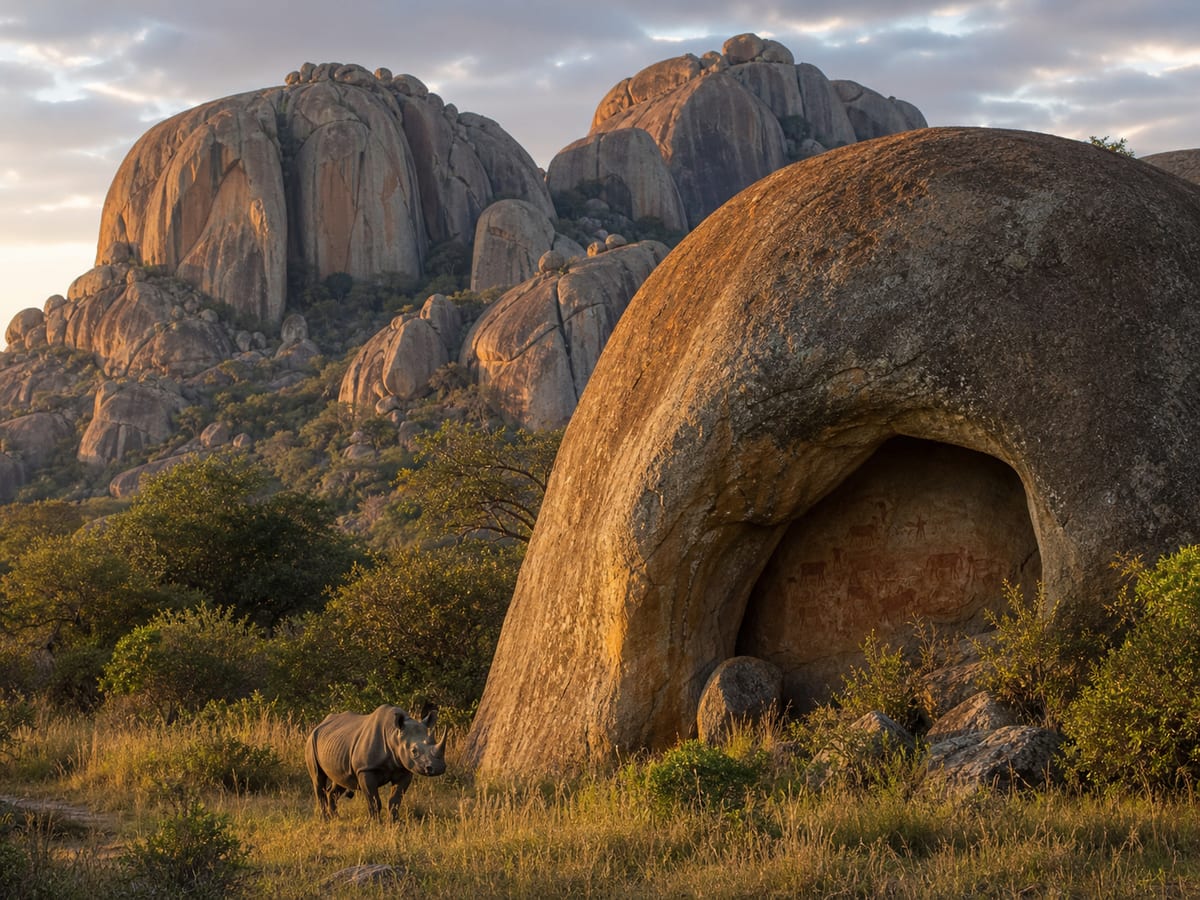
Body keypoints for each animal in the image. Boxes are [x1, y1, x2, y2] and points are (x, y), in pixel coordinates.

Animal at [305, 704, 446, 821]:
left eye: (433, 741)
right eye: (413, 751)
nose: (438, 767)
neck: (394, 736)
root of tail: (320, 724)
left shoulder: (404, 769)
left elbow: (395, 800)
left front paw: (394, 823)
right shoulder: (366, 769)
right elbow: (374, 800)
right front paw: (375, 823)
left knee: (340, 779)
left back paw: (336, 818)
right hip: (311, 741)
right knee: (318, 779)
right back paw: (325, 819)